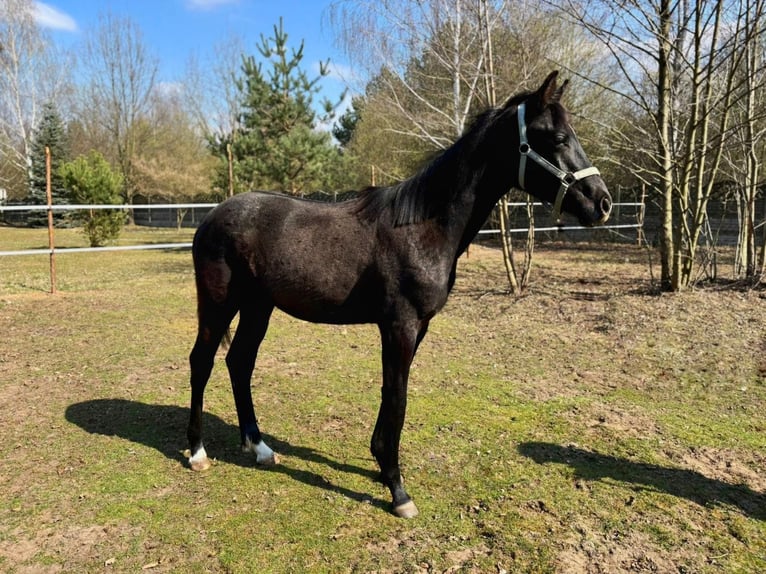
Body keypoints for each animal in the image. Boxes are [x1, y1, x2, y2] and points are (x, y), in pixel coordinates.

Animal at [186, 71, 612, 518]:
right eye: (558, 138)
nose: (602, 203)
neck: (424, 226)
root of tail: (211, 217)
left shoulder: (417, 327)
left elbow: (393, 395)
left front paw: (381, 466)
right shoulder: (399, 326)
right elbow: (397, 397)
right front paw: (397, 487)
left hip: (258, 307)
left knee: (239, 362)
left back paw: (259, 447)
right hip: (218, 305)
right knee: (202, 362)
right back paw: (197, 452)